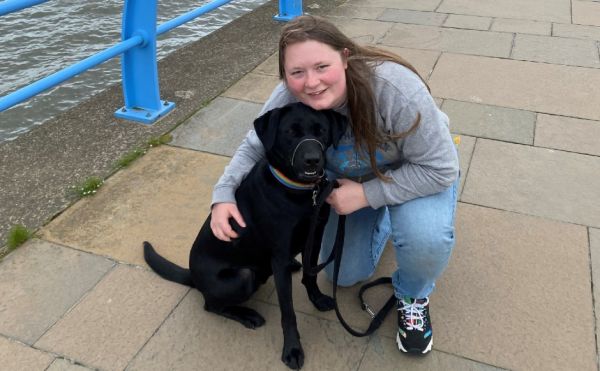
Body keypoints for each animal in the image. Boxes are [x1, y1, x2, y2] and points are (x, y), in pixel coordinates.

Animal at [144, 101, 346, 370]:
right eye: (290, 133)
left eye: (321, 131)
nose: (312, 160)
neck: (299, 193)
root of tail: (193, 276)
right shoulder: (279, 255)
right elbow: (288, 312)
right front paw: (292, 349)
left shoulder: (315, 235)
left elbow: (310, 275)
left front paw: (317, 298)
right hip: (242, 277)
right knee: (211, 305)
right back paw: (247, 315)